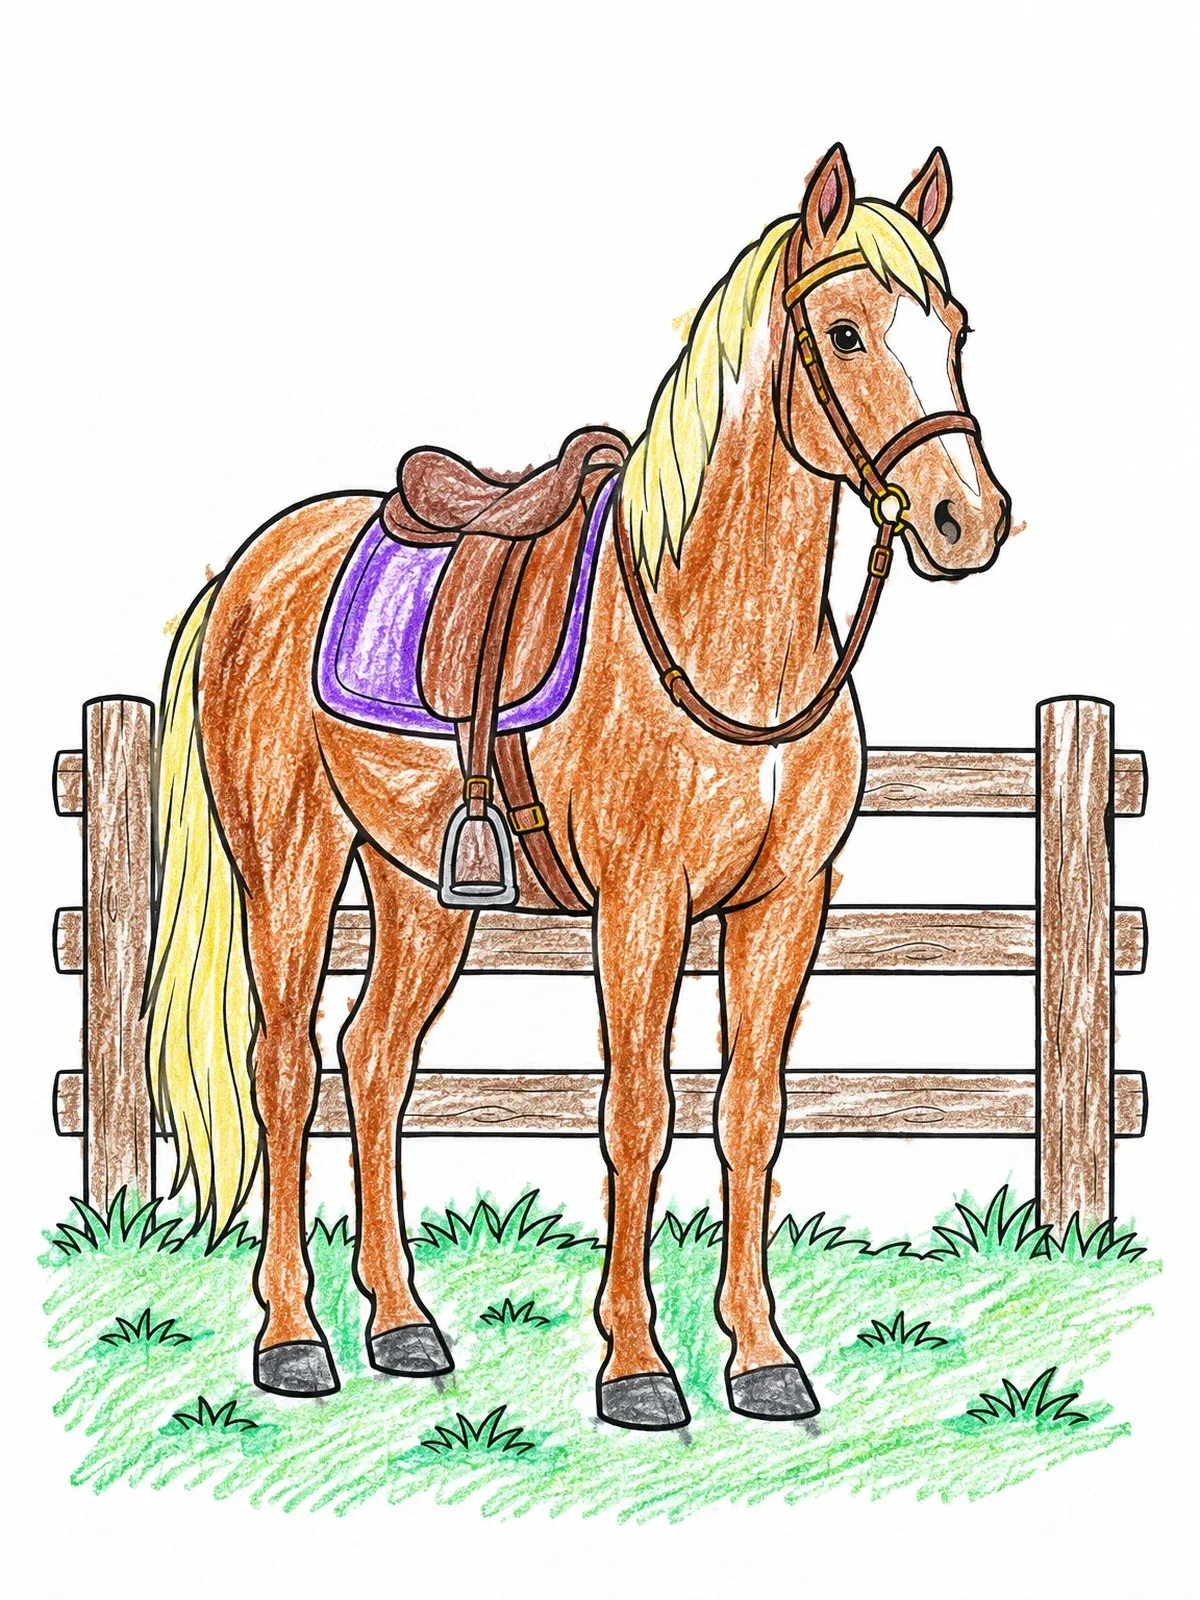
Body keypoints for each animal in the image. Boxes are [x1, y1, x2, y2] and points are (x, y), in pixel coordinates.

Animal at [146, 144, 1010, 1430]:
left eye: (952, 326)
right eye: (847, 331)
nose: (969, 519)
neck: (719, 634)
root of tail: (255, 569)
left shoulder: (785, 905)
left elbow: (751, 1112)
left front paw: (762, 1358)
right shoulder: (640, 907)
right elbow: (638, 1113)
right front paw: (639, 1368)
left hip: (423, 892)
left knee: (376, 1061)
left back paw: (403, 1325)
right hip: (292, 865)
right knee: (288, 1067)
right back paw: (294, 1340)